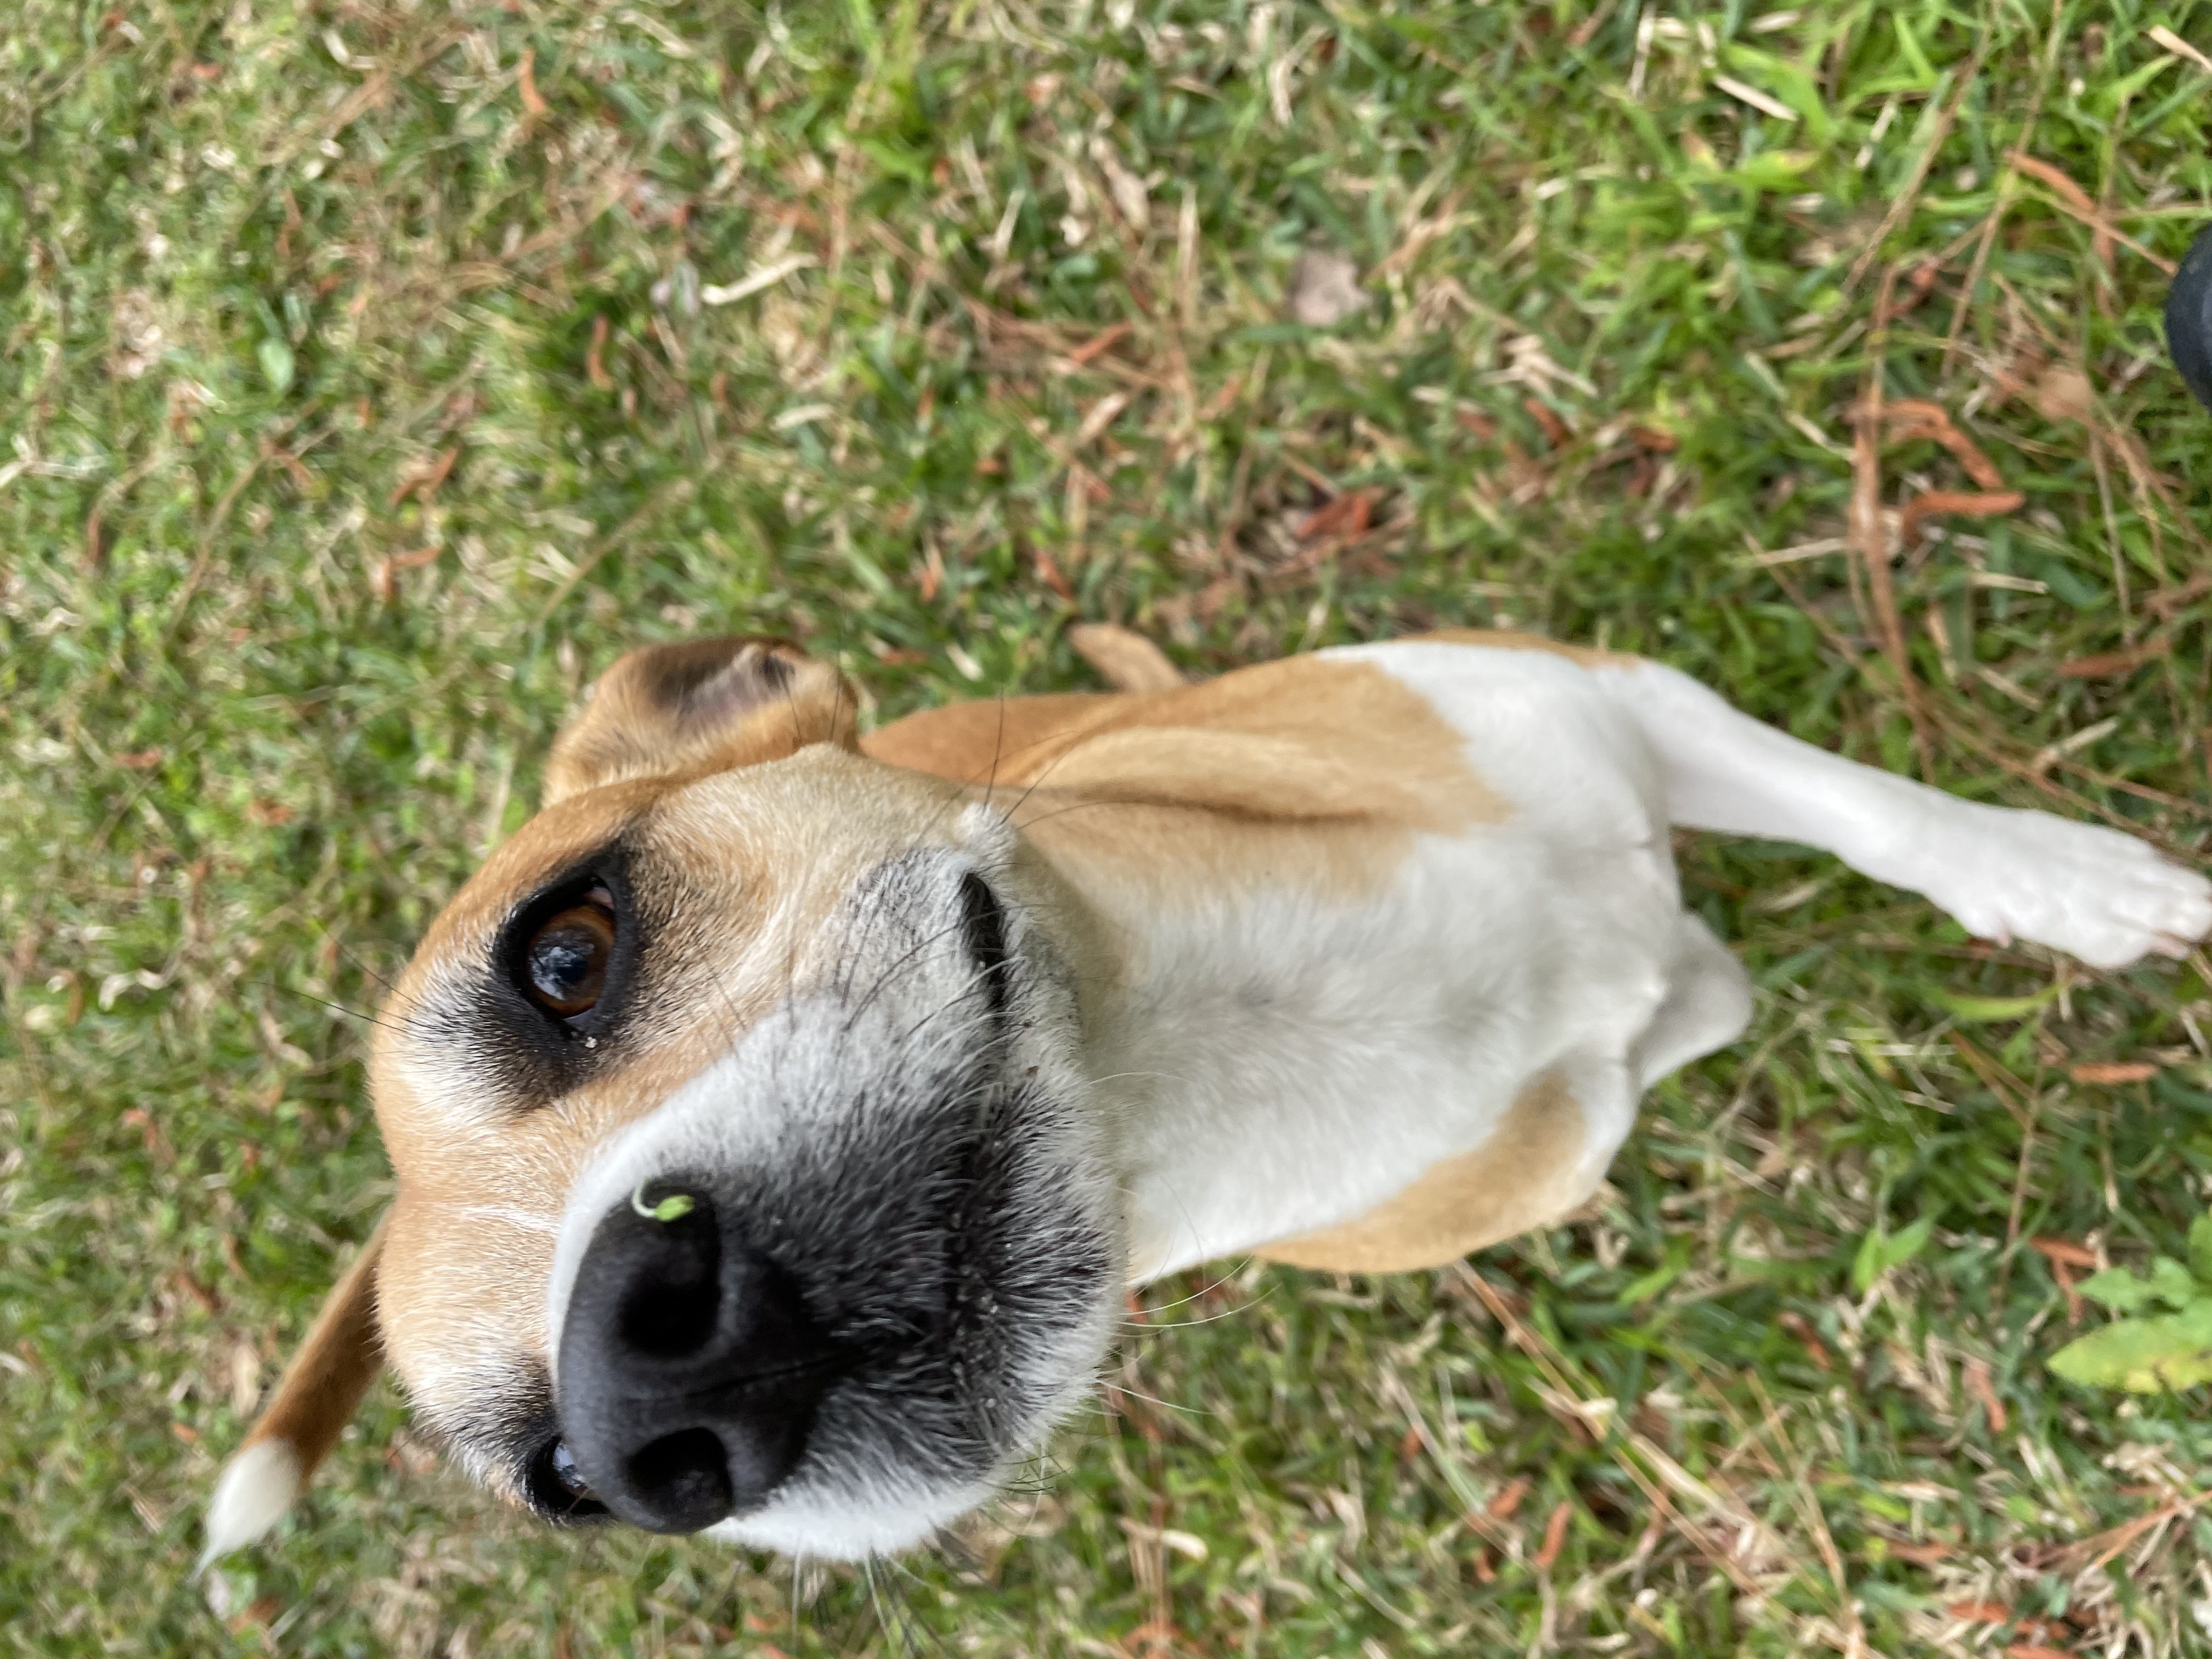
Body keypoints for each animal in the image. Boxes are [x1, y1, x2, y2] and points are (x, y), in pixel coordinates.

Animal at [208, 628, 2212, 1566]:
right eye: (560, 1483)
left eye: (564, 952)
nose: (646, 1398)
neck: (1243, 1026)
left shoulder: (1613, 701)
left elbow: (1877, 810)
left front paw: (2061, 884)